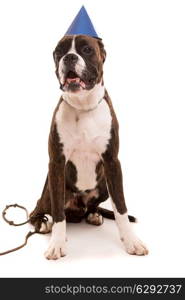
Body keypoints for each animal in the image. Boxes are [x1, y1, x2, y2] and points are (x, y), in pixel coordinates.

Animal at [30, 34, 149, 260]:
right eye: (59, 51)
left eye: (86, 49)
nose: (69, 57)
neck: (83, 105)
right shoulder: (56, 163)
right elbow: (58, 212)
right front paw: (57, 243)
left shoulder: (112, 162)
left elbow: (121, 207)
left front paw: (131, 241)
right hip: (49, 189)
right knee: (38, 210)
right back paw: (42, 222)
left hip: (103, 186)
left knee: (93, 206)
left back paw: (93, 215)